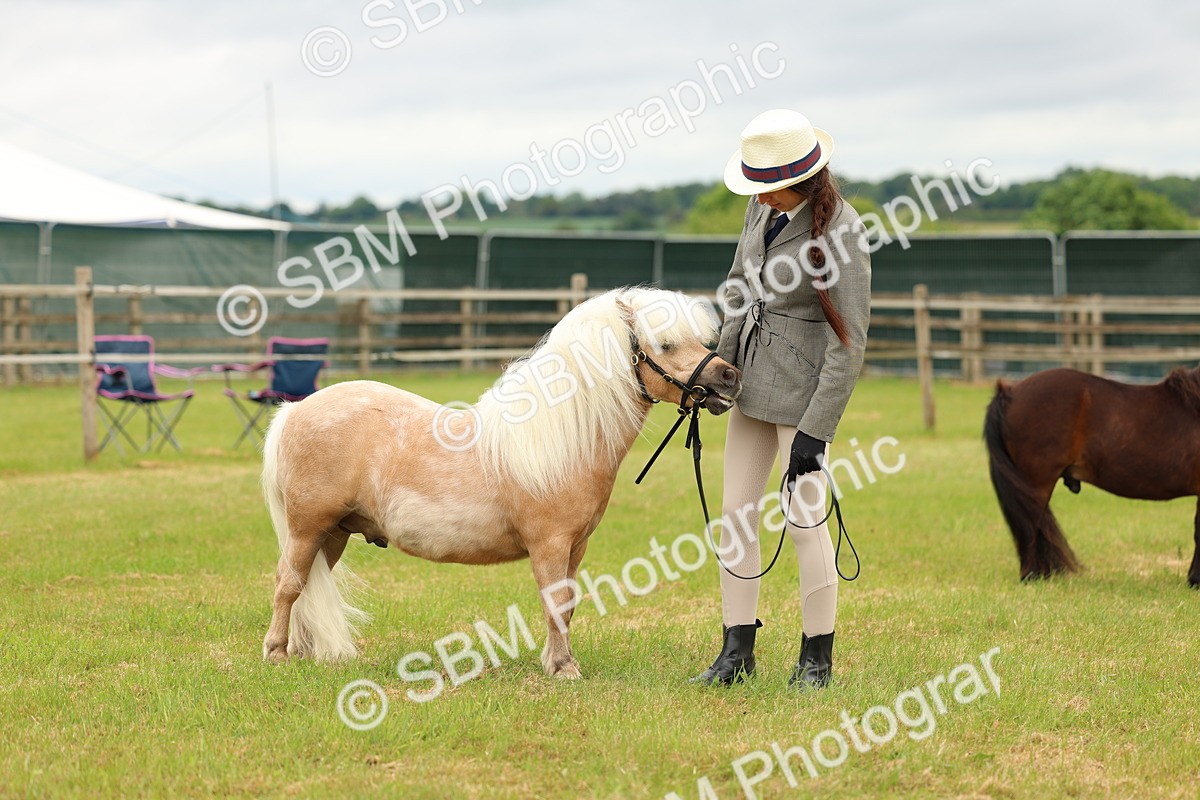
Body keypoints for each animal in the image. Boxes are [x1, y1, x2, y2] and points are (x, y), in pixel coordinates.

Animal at [260, 286, 742, 677]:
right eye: (665, 344)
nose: (729, 376)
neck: (563, 439)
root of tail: (295, 411)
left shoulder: (576, 547)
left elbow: (567, 606)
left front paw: (557, 661)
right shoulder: (549, 545)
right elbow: (554, 604)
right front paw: (564, 669)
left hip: (335, 533)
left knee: (307, 586)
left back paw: (303, 652)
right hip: (308, 527)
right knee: (288, 583)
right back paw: (277, 655)